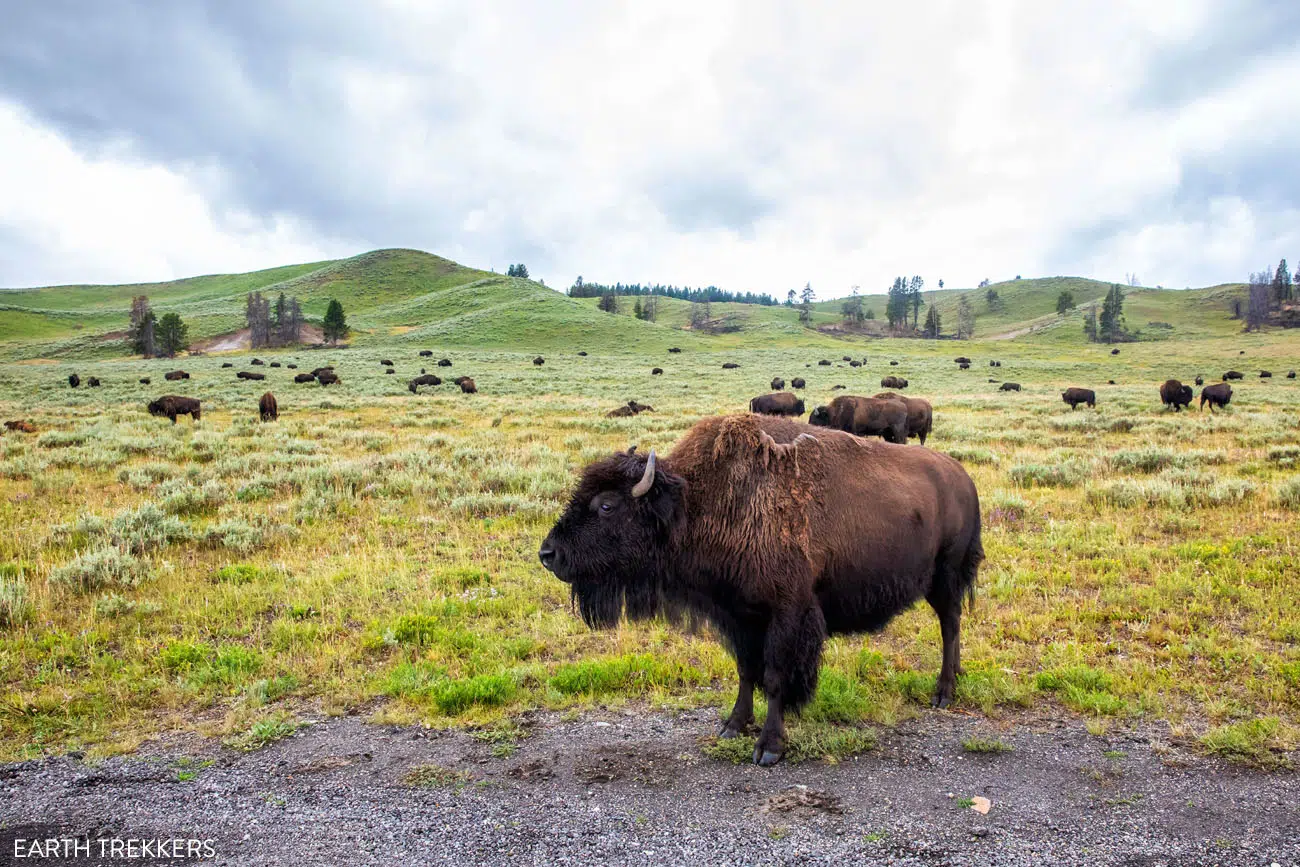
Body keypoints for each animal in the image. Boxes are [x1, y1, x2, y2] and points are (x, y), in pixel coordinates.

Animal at [538, 414, 982, 765]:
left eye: (606, 505)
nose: (548, 553)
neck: (697, 503)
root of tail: (963, 478)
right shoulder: (739, 616)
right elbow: (746, 670)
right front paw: (733, 725)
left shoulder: (786, 614)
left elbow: (773, 676)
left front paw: (769, 747)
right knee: (952, 625)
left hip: (945, 578)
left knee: (950, 624)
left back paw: (943, 692)